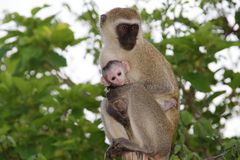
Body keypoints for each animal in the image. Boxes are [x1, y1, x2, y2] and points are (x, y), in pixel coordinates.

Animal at [98, 7, 179, 160]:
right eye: (124, 27)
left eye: (134, 28)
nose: (131, 39)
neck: (120, 50)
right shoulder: (105, 56)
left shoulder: (144, 53)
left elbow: (164, 86)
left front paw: (120, 90)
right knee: (105, 103)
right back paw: (122, 149)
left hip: (162, 133)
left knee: (136, 91)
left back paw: (146, 148)